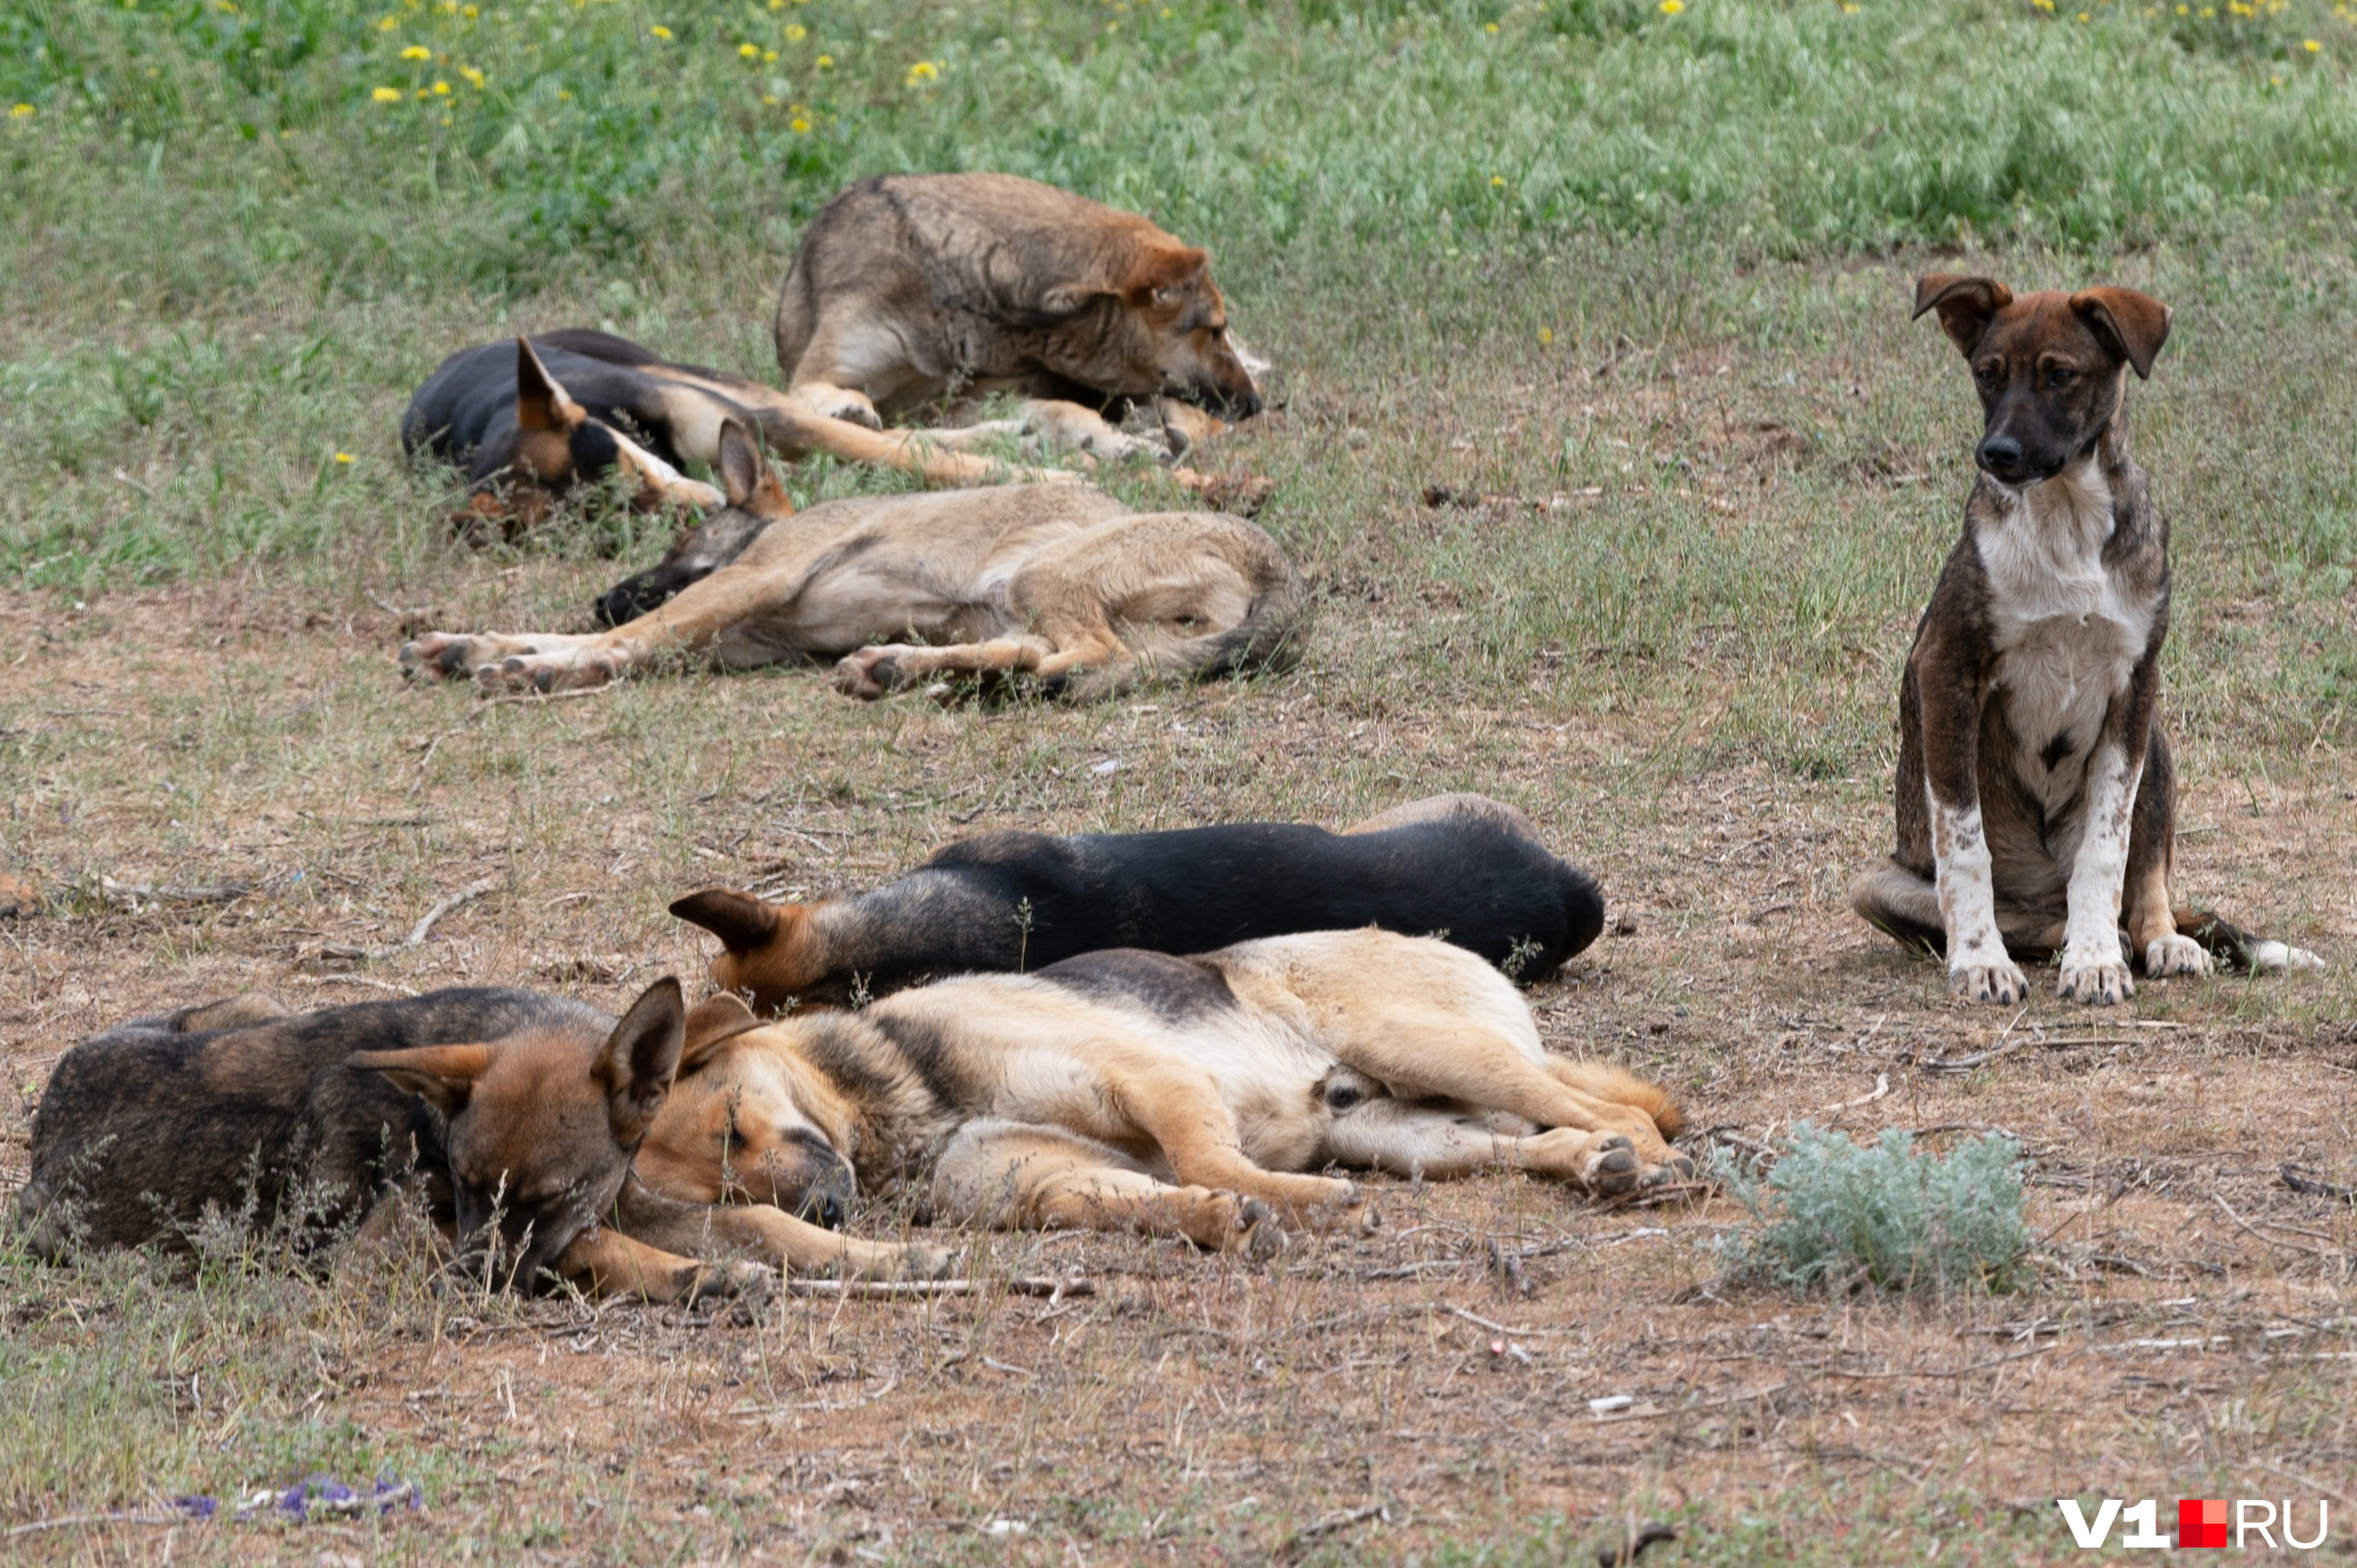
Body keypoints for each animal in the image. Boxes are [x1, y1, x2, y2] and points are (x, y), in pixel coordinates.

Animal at [16, 981, 957, 1292]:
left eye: (548, 1194)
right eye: (466, 1187)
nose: (469, 1283)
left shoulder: (613, 1203)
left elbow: (761, 1220)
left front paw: (890, 1258)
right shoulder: (395, 1243)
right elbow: (605, 1250)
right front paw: (697, 1277)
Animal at [401, 414, 1310, 698]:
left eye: (682, 540)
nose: (602, 595)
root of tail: (1280, 571)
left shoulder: (749, 580)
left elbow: (626, 639)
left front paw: (537, 666)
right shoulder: (727, 634)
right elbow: (586, 640)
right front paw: (470, 647)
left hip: (1041, 578)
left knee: (1088, 656)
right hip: (1018, 607)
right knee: (1049, 653)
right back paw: (914, 670)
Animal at [632, 928, 1697, 1263]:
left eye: (733, 1129)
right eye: (725, 1193)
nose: (822, 1211)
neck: (898, 1088)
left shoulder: (1149, 1076)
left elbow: (1201, 1153)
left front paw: (1291, 1203)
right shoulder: (1047, 1179)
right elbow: (1151, 1199)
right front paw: (1224, 1218)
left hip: (1422, 1043)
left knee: (1621, 1109)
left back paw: (1654, 1165)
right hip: (1403, 1133)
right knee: (1536, 1138)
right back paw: (1590, 1166)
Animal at [1848, 273, 2328, 994]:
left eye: (2061, 376)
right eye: (1986, 375)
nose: (1997, 454)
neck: (2066, 515)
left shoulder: (2135, 684)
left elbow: (2109, 844)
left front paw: (2096, 960)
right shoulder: (1947, 669)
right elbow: (1965, 842)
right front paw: (1981, 960)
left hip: (2158, 741)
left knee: (2140, 888)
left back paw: (2153, 942)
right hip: (1874, 885)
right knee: (2033, 920)